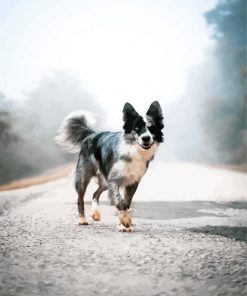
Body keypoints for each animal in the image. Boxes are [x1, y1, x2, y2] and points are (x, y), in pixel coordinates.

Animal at [56, 100, 164, 230]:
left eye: (152, 128)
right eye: (136, 128)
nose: (146, 138)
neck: (133, 151)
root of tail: (92, 134)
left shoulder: (133, 182)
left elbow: (126, 202)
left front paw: (123, 223)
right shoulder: (113, 180)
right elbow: (119, 200)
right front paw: (125, 220)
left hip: (104, 182)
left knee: (95, 193)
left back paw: (95, 214)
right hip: (84, 176)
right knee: (80, 198)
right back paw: (82, 219)